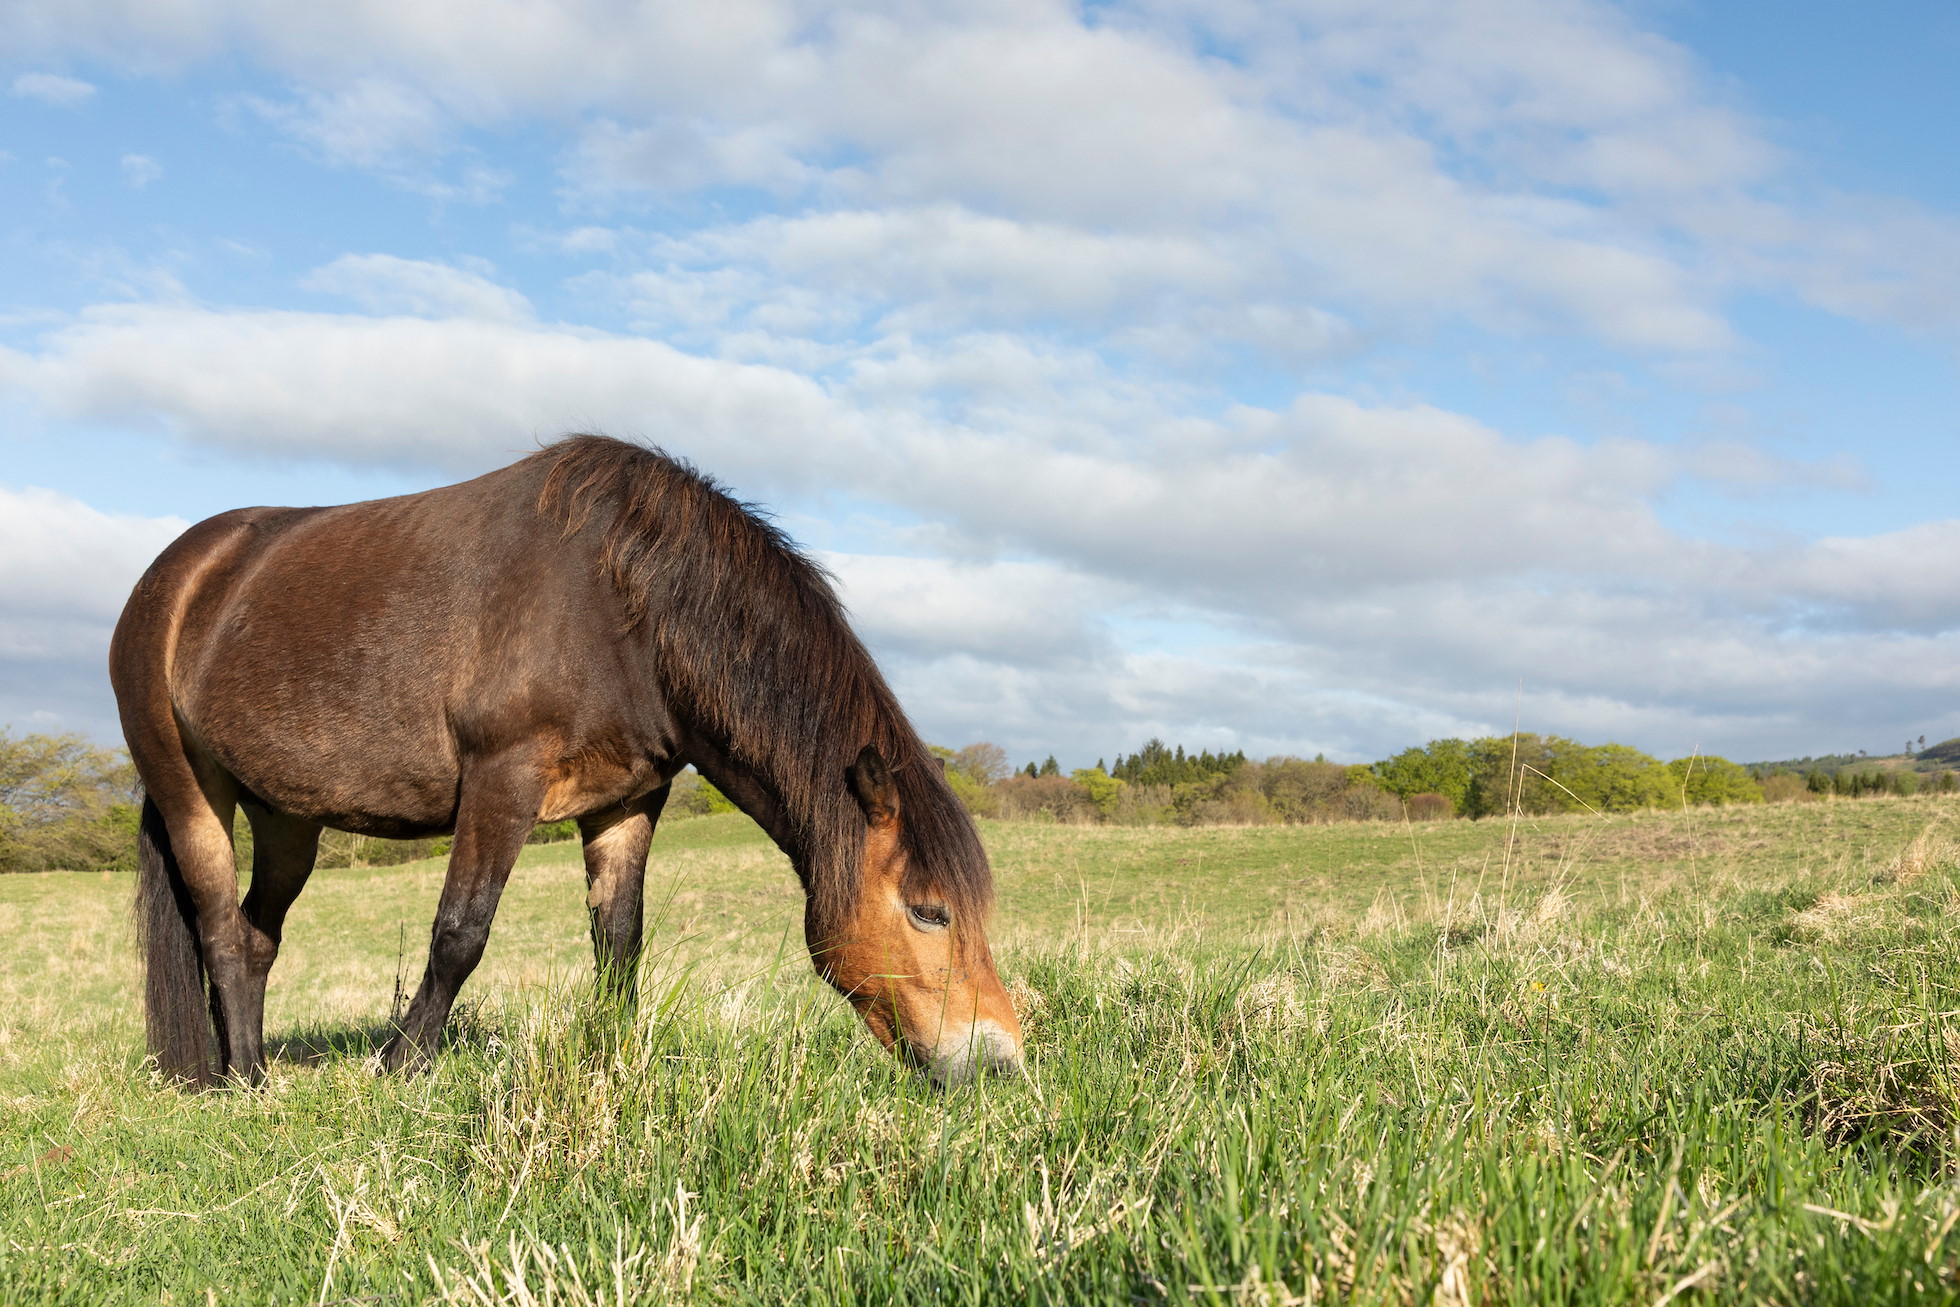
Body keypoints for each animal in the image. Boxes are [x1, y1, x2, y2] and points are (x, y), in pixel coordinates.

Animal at [110, 435, 1023, 1088]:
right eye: (930, 910)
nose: (1000, 1059)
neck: (627, 604)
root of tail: (180, 575)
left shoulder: (626, 802)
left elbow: (619, 942)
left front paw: (610, 1059)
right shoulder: (502, 779)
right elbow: (460, 932)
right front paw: (400, 1065)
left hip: (287, 816)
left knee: (258, 934)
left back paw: (244, 1063)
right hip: (190, 788)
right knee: (221, 932)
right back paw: (246, 1083)